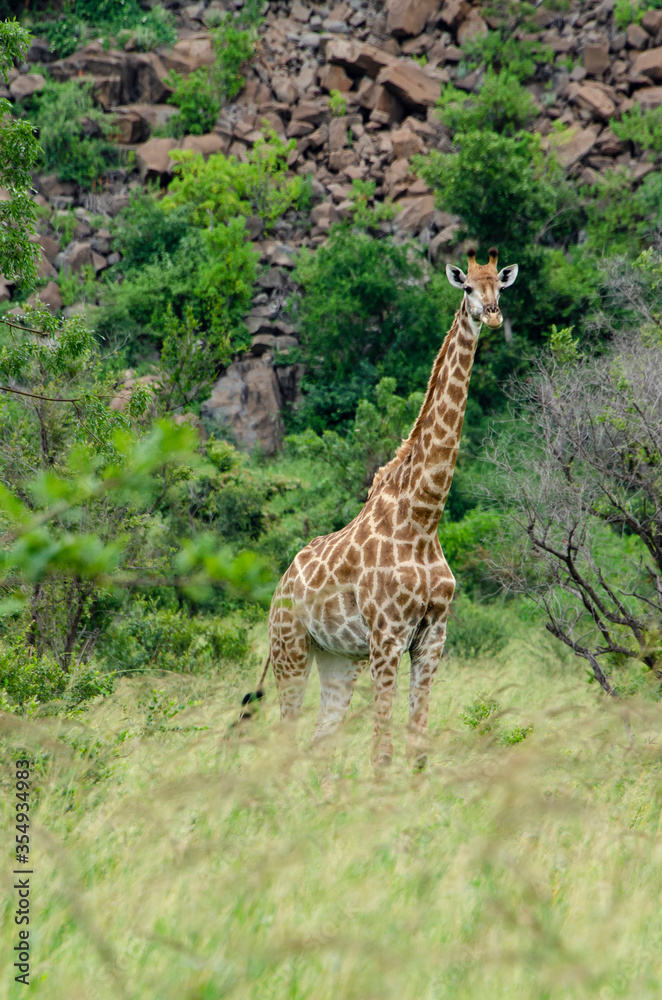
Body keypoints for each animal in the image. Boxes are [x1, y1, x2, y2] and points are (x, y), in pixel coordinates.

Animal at [248, 248, 518, 766]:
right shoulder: (388, 636)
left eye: (500, 284)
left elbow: (417, 747)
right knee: (285, 738)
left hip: (337, 659)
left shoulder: (433, 639)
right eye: (467, 287)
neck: (424, 517)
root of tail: (278, 588)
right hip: (290, 647)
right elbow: (382, 752)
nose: (493, 315)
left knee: (319, 738)